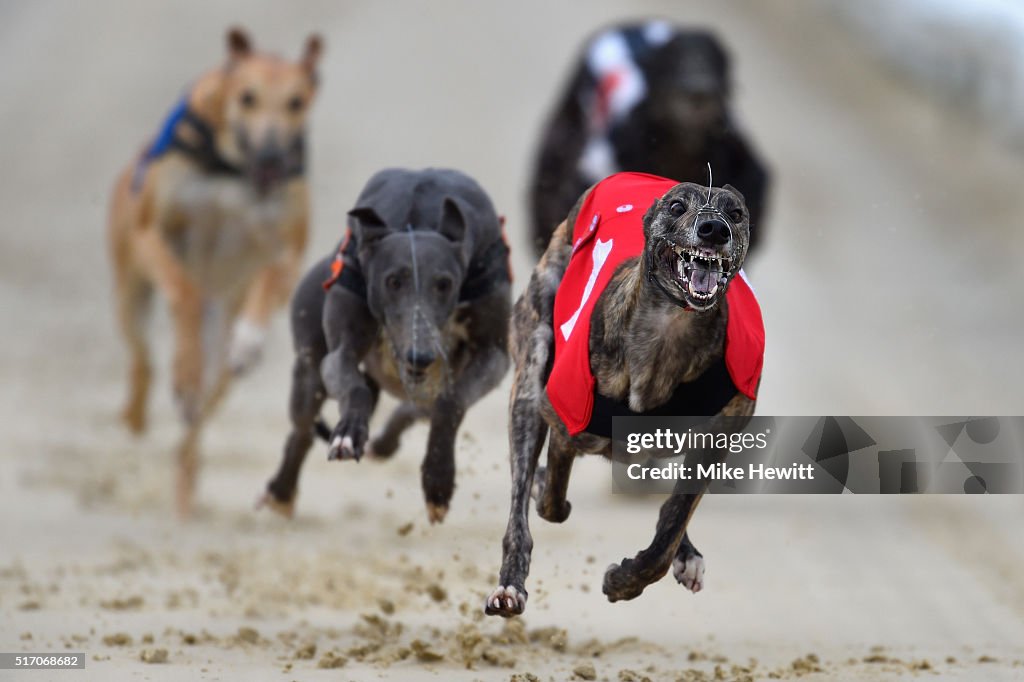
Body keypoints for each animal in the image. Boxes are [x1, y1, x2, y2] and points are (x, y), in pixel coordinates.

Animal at [258, 168, 509, 520]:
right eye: (392, 281)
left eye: (445, 284)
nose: (421, 356)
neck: (419, 218)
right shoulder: (340, 353)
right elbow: (354, 385)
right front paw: (348, 434)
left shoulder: (493, 354)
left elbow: (451, 401)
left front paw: (438, 479)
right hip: (309, 365)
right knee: (303, 429)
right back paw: (281, 490)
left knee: (419, 407)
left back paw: (385, 442)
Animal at [485, 171, 761, 614]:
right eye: (677, 207)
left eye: (735, 213)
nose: (714, 229)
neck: (668, 328)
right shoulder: (564, 422)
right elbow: (551, 500)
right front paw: (545, 488)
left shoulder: (716, 439)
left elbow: (671, 525)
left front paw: (625, 581)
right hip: (529, 373)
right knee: (521, 505)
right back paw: (511, 585)